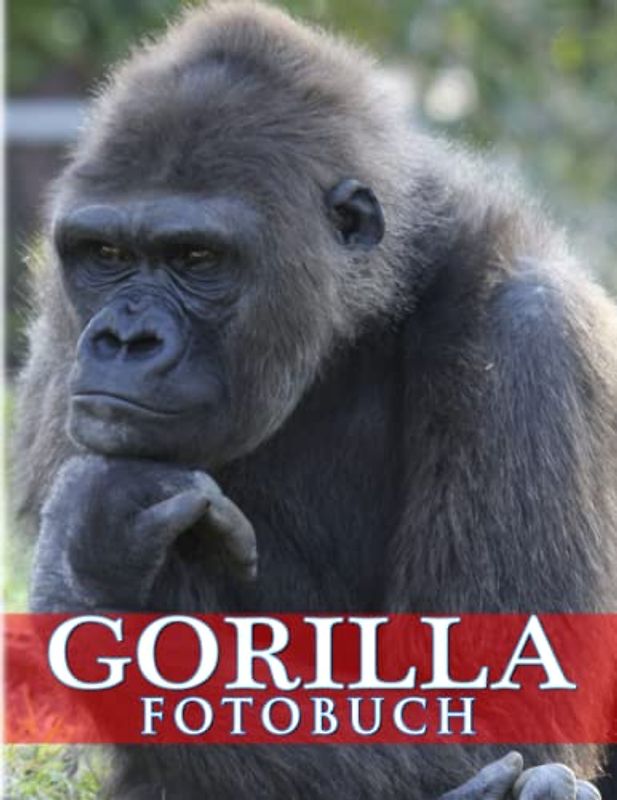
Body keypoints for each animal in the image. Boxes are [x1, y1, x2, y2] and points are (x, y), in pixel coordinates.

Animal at [13, 2, 617, 799]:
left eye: (196, 258)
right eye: (107, 255)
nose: (123, 339)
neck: (353, 323)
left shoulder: (532, 333)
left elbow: (497, 707)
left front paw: (95, 571)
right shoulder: (63, 331)